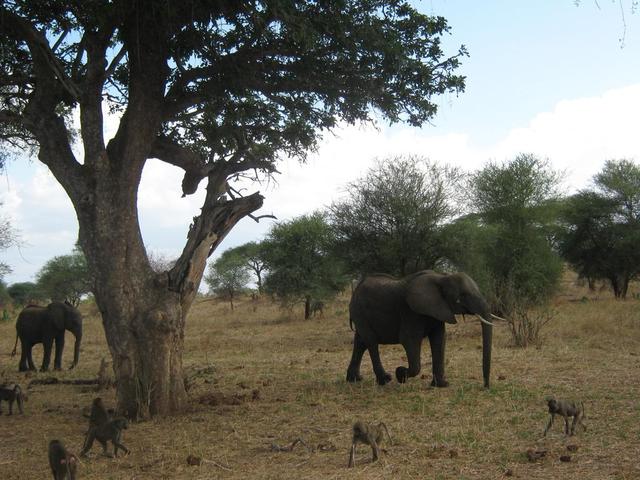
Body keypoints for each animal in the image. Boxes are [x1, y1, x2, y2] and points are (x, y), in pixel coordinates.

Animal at [344, 272, 500, 388]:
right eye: (461, 297)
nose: (485, 386)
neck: (441, 278)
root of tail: (356, 288)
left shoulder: (438, 311)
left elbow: (439, 340)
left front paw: (442, 385)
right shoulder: (410, 312)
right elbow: (409, 340)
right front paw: (400, 374)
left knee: (360, 342)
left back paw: (355, 379)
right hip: (360, 312)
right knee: (371, 342)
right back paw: (385, 380)